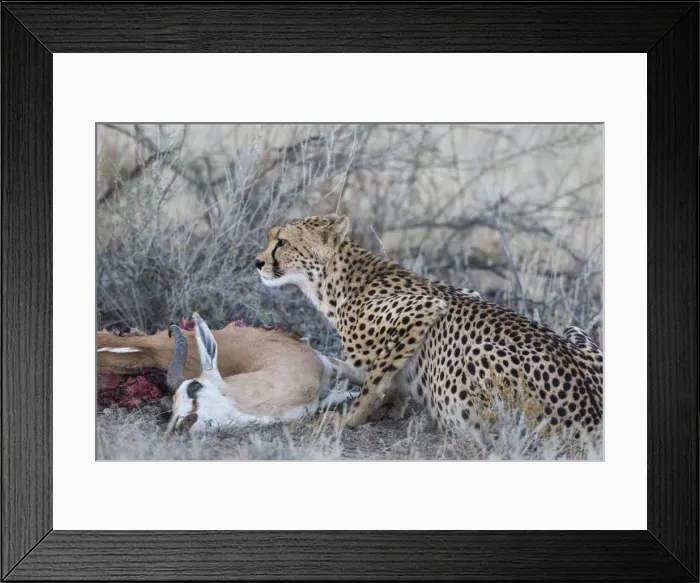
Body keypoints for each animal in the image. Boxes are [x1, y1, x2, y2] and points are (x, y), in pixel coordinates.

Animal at [253, 214, 603, 436]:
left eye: (281, 241)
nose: (257, 262)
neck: (335, 281)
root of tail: (591, 414)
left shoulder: (425, 308)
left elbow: (374, 380)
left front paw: (351, 418)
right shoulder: (467, 292)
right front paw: (391, 404)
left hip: (476, 357)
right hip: (574, 333)